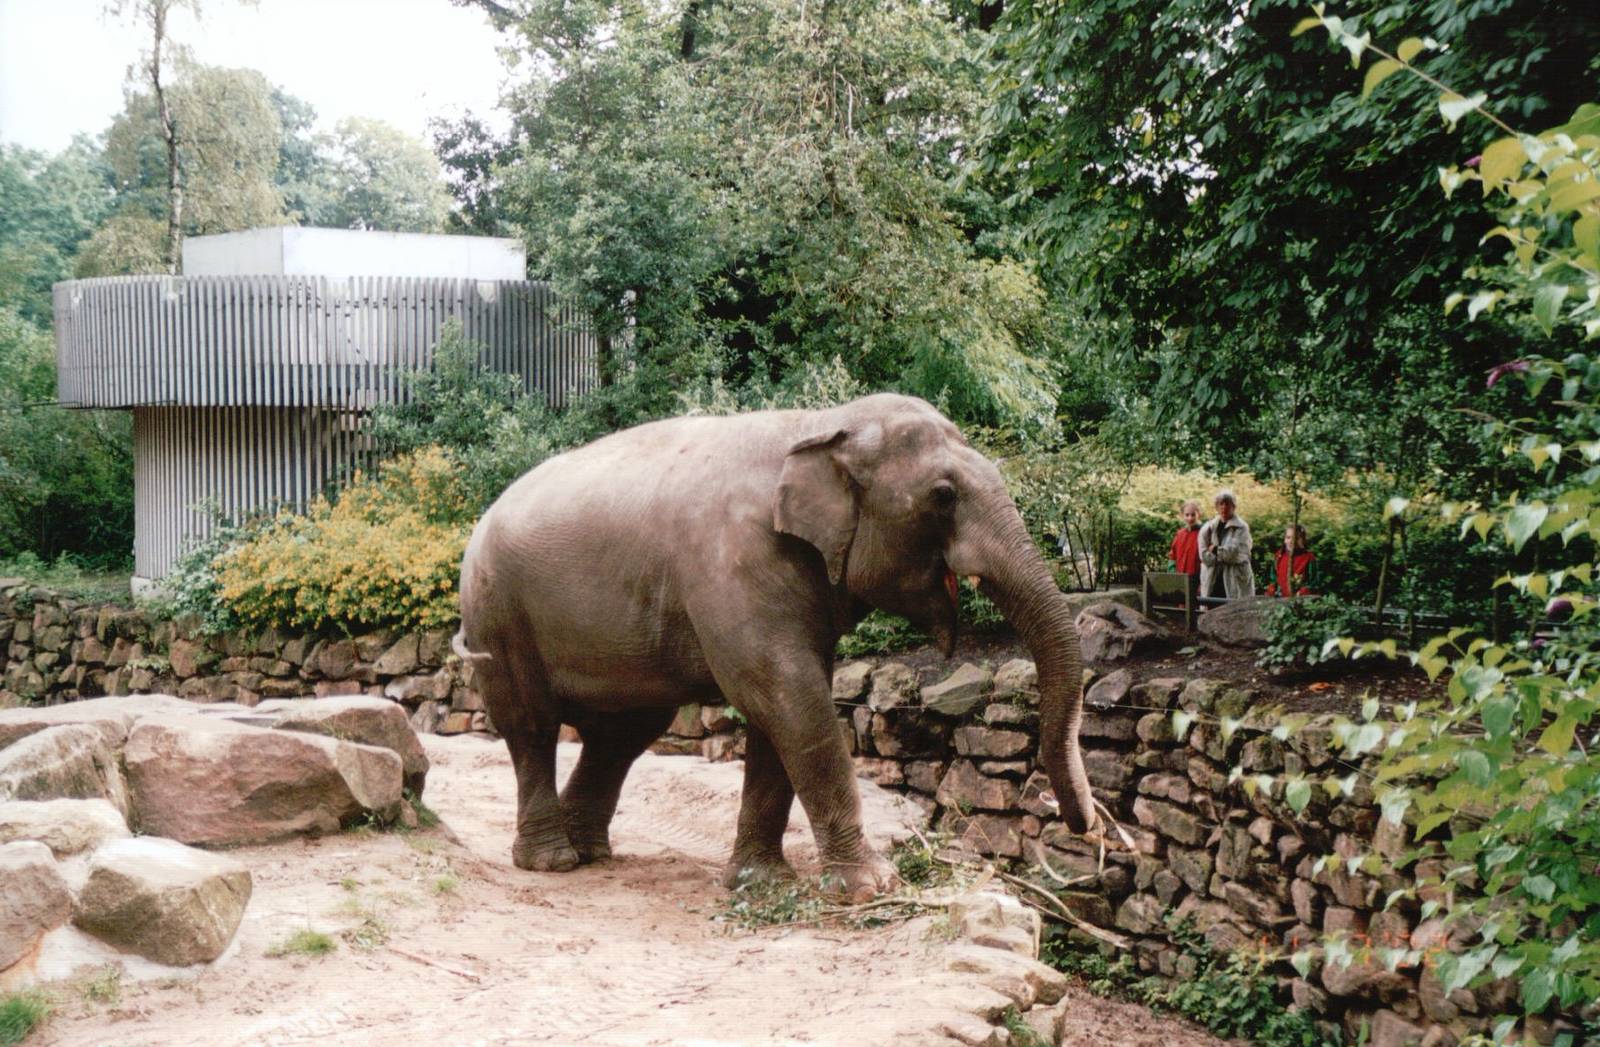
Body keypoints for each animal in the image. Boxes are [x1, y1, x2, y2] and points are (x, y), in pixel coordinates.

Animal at [453, 392, 1099, 899]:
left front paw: (759, 885)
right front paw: (872, 888)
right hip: (497, 612)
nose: (1083, 830)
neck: (820, 424)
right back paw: (552, 861)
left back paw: (589, 853)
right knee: (533, 726)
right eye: (943, 495)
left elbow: (781, 708)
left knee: (624, 731)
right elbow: (788, 696)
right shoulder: (735, 564)